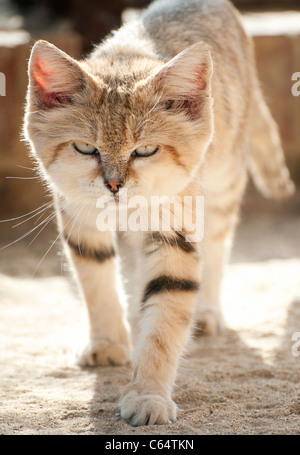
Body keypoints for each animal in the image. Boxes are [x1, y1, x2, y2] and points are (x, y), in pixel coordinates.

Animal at [24, 0, 294, 428]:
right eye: (85, 148)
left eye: (145, 150)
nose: (114, 185)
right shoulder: (79, 219)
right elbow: (97, 285)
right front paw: (108, 341)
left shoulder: (174, 233)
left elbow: (165, 323)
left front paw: (147, 395)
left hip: (222, 187)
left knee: (215, 250)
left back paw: (206, 312)